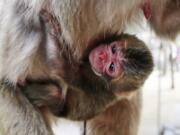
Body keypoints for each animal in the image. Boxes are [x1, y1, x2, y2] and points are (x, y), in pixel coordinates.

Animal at [20, 10, 153, 120]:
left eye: (111, 67)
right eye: (114, 49)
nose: (102, 56)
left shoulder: (93, 82)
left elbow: (64, 69)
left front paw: (50, 24)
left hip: (58, 108)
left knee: (55, 93)